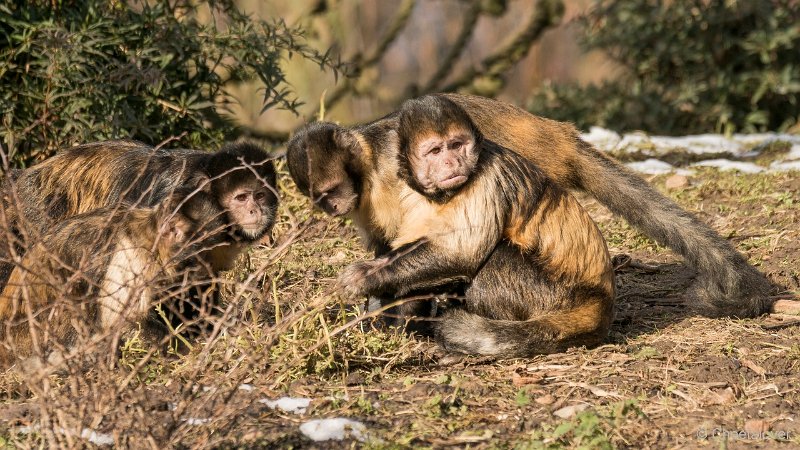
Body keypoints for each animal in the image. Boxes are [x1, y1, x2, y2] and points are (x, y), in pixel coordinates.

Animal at [286, 93, 776, 318]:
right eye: (323, 196)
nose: (334, 206)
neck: (368, 168)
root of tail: (556, 135)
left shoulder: (394, 166)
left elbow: (456, 244)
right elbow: (385, 246)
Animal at [334, 96, 616, 358]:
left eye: (456, 145)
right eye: (435, 151)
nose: (452, 162)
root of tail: (602, 299)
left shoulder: (485, 176)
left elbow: (460, 255)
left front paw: (367, 277)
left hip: (552, 297)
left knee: (493, 259)